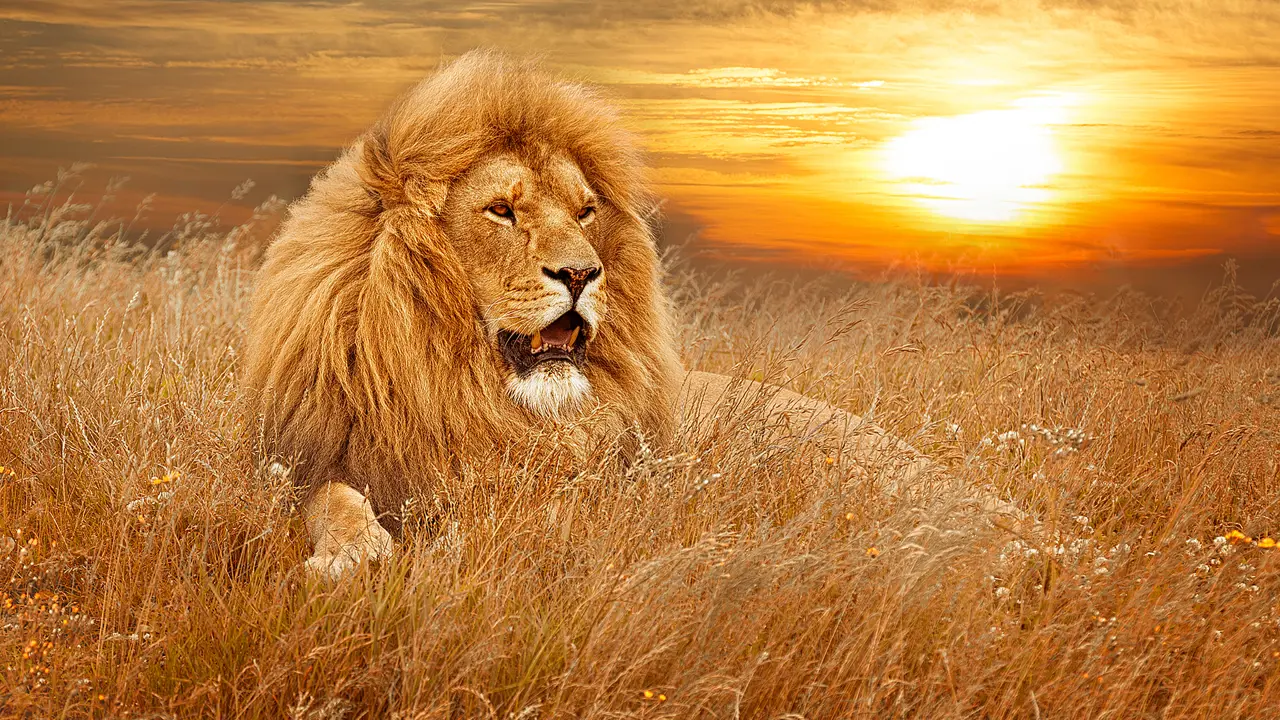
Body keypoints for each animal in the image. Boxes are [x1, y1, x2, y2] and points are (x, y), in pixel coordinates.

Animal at [245, 51, 994, 580]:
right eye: (501, 210)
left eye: (585, 212)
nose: (581, 274)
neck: (466, 391)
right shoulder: (310, 460)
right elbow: (332, 498)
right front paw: (352, 554)